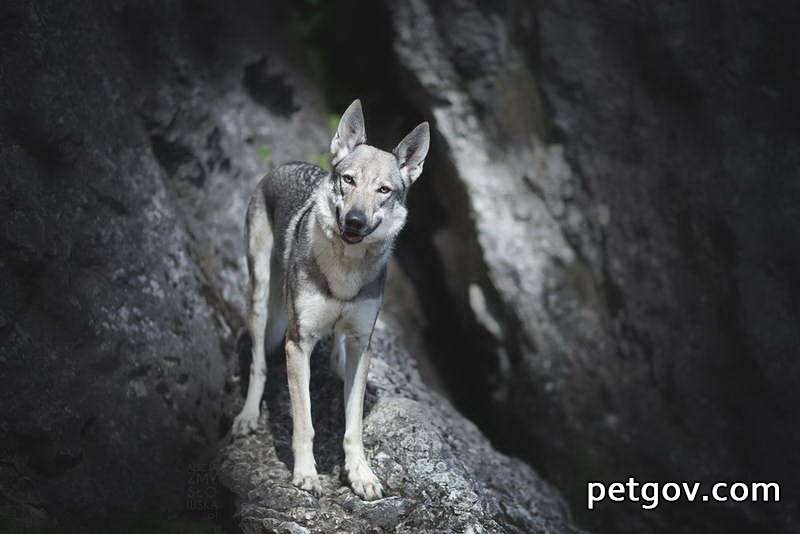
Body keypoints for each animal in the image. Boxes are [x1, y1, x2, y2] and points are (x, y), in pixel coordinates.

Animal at [231, 99, 432, 502]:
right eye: (349, 180)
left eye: (384, 190)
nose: (354, 221)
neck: (345, 271)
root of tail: (284, 165)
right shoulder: (298, 344)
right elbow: (305, 422)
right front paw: (306, 474)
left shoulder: (362, 344)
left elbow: (353, 426)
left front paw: (361, 475)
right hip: (261, 299)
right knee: (258, 364)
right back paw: (247, 417)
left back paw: (337, 363)